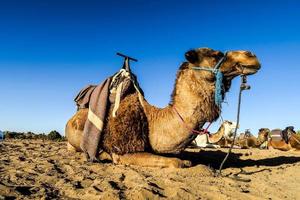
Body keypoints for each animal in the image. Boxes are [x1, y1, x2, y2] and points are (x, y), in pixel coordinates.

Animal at [65, 47, 260, 168]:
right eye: (216, 54)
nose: (251, 55)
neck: (153, 119)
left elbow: (182, 158)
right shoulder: (124, 149)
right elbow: (177, 162)